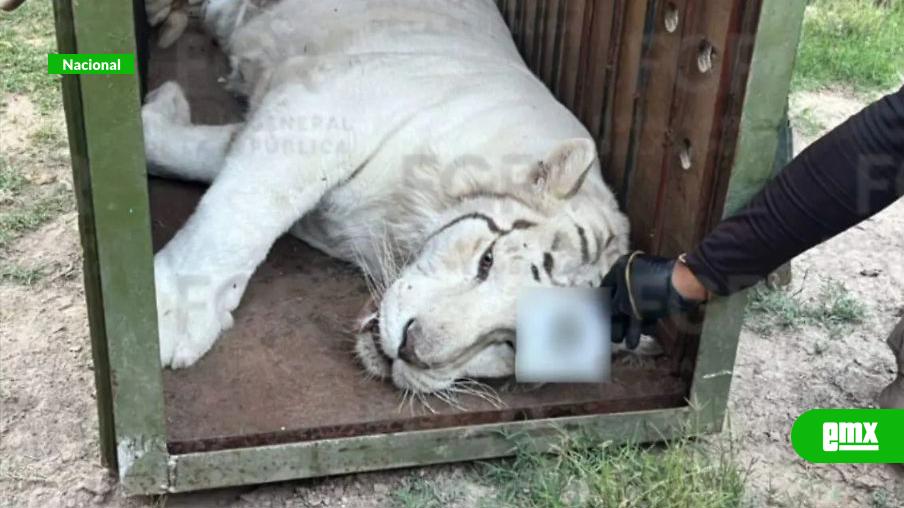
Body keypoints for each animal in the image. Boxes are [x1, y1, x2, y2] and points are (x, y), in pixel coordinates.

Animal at [141, 0, 630, 393]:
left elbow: (202, 160)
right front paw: (171, 314)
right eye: (486, 261)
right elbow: (248, 206)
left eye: (511, 343)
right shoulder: (325, 104)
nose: (410, 348)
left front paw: (159, 110)